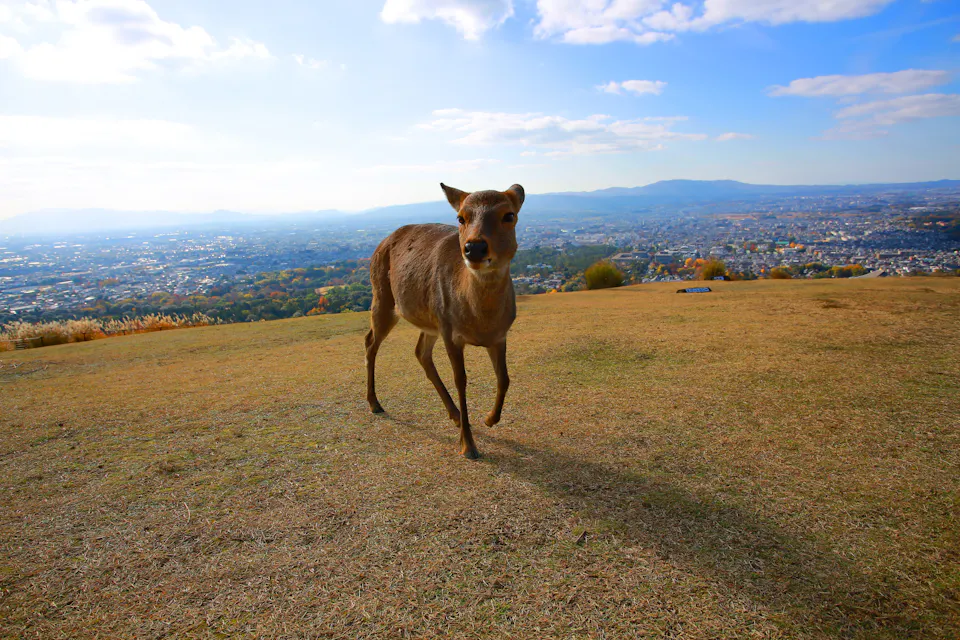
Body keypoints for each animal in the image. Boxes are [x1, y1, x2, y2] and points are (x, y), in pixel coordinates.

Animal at [365, 183, 525, 459]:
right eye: (460, 217)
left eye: (509, 215)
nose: (474, 248)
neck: (481, 321)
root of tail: (381, 243)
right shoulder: (451, 333)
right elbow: (461, 381)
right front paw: (468, 447)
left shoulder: (500, 334)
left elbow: (504, 377)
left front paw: (489, 419)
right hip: (383, 297)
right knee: (370, 342)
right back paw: (375, 404)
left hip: (430, 321)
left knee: (420, 351)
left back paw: (456, 416)